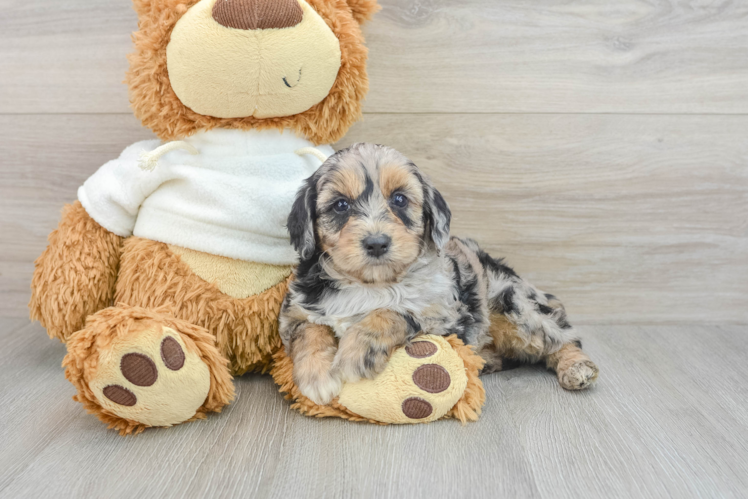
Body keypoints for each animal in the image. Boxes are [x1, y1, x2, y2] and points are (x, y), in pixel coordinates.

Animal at [278, 143, 600, 404]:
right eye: (341, 205)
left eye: (399, 200)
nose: (377, 242)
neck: (371, 283)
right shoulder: (295, 310)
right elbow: (309, 332)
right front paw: (318, 377)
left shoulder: (446, 315)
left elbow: (391, 312)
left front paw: (357, 352)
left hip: (513, 306)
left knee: (562, 336)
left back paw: (576, 367)